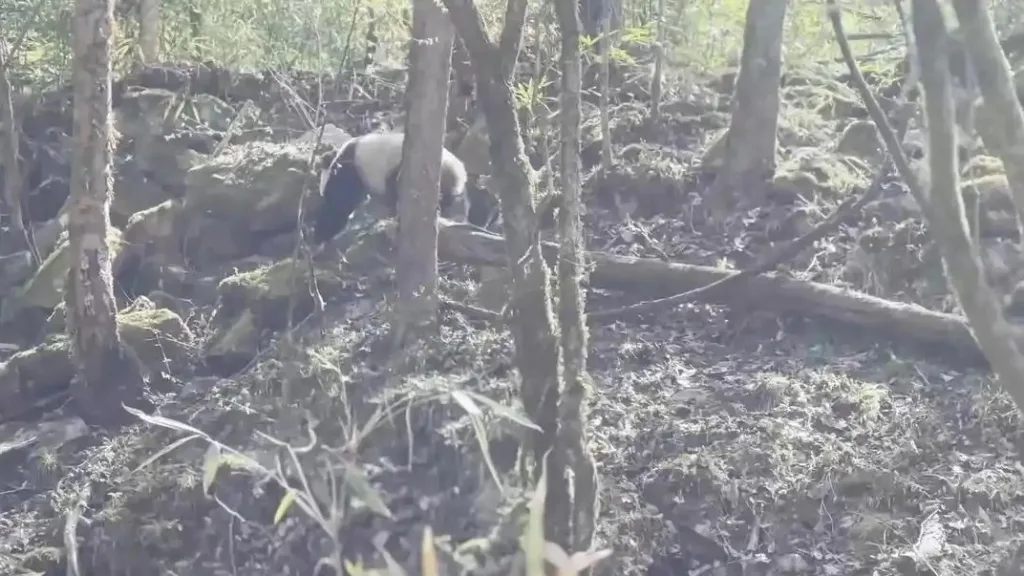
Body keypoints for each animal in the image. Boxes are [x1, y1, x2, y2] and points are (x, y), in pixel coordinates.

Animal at [312, 132, 469, 245]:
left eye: (326, 192)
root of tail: (459, 172)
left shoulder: (349, 172)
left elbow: (342, 204)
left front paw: (321, 234)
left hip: (407, 170)